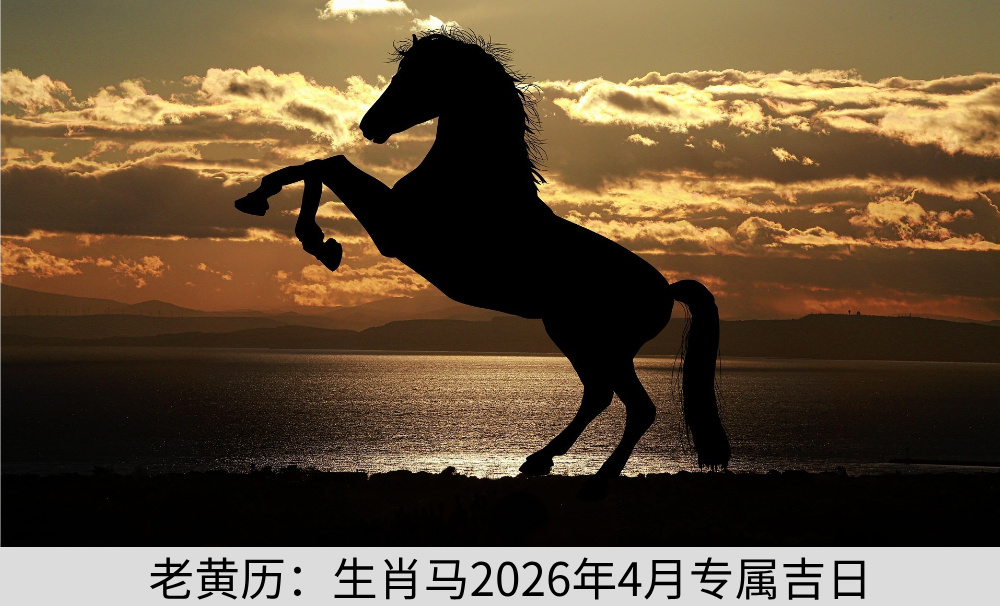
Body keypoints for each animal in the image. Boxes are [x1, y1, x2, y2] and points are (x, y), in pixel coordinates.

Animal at [235, 29, 730, 499]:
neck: (472, 179)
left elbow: (328, 164)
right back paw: (539, 461)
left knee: (636, 407)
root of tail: (666, 290)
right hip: (575, 337)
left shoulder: (394, 230)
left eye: (415, 76)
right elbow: (319, 164)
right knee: (599, 395)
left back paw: (594, 482)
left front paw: (315, 239)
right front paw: (265, 204)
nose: (369, 125)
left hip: (597, 342)